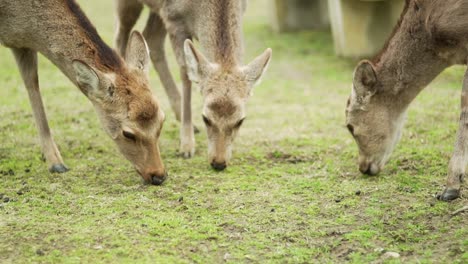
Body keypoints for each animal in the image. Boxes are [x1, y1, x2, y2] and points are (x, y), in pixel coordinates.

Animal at [0, 0, 168, 185]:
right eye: (128, 133)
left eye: (162, 120)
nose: (158, 175)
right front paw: (56, 163)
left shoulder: (21, 45)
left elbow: (31, 82)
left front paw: (55, 162)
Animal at [114, 0, 272, 170]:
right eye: (205, 118)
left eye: (240, 121)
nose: (218, 163)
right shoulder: (174, 19)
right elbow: (185, 72)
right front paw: (186, 146)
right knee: (121, 36)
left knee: (151, 39)